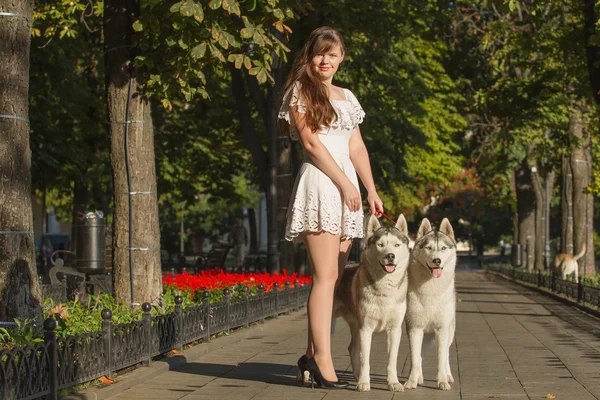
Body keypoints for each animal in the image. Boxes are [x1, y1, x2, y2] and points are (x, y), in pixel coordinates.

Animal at [332, 214, 412, 392]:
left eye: (396, 245)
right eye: (380, 245)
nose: (390, 256)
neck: (385, 290)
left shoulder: (394, 330)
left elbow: (391, 360)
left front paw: (393, 383)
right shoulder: (366, 329)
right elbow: (365, 360)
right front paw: (364, 382)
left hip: (355, 325)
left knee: (351, 348)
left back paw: (355, 375)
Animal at [406, 219, 458, 390]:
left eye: (443, 248)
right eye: (428, 248)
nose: (437, 261)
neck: (431, 292)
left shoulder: (442, 329)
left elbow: (441, 358)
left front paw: (442, 381)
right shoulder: (414, 328)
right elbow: (415, 358)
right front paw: (411, 381)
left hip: (447, 332)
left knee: (446, 354)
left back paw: (448, 376)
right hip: (425, 334)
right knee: (420, 355)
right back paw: (419, 377)